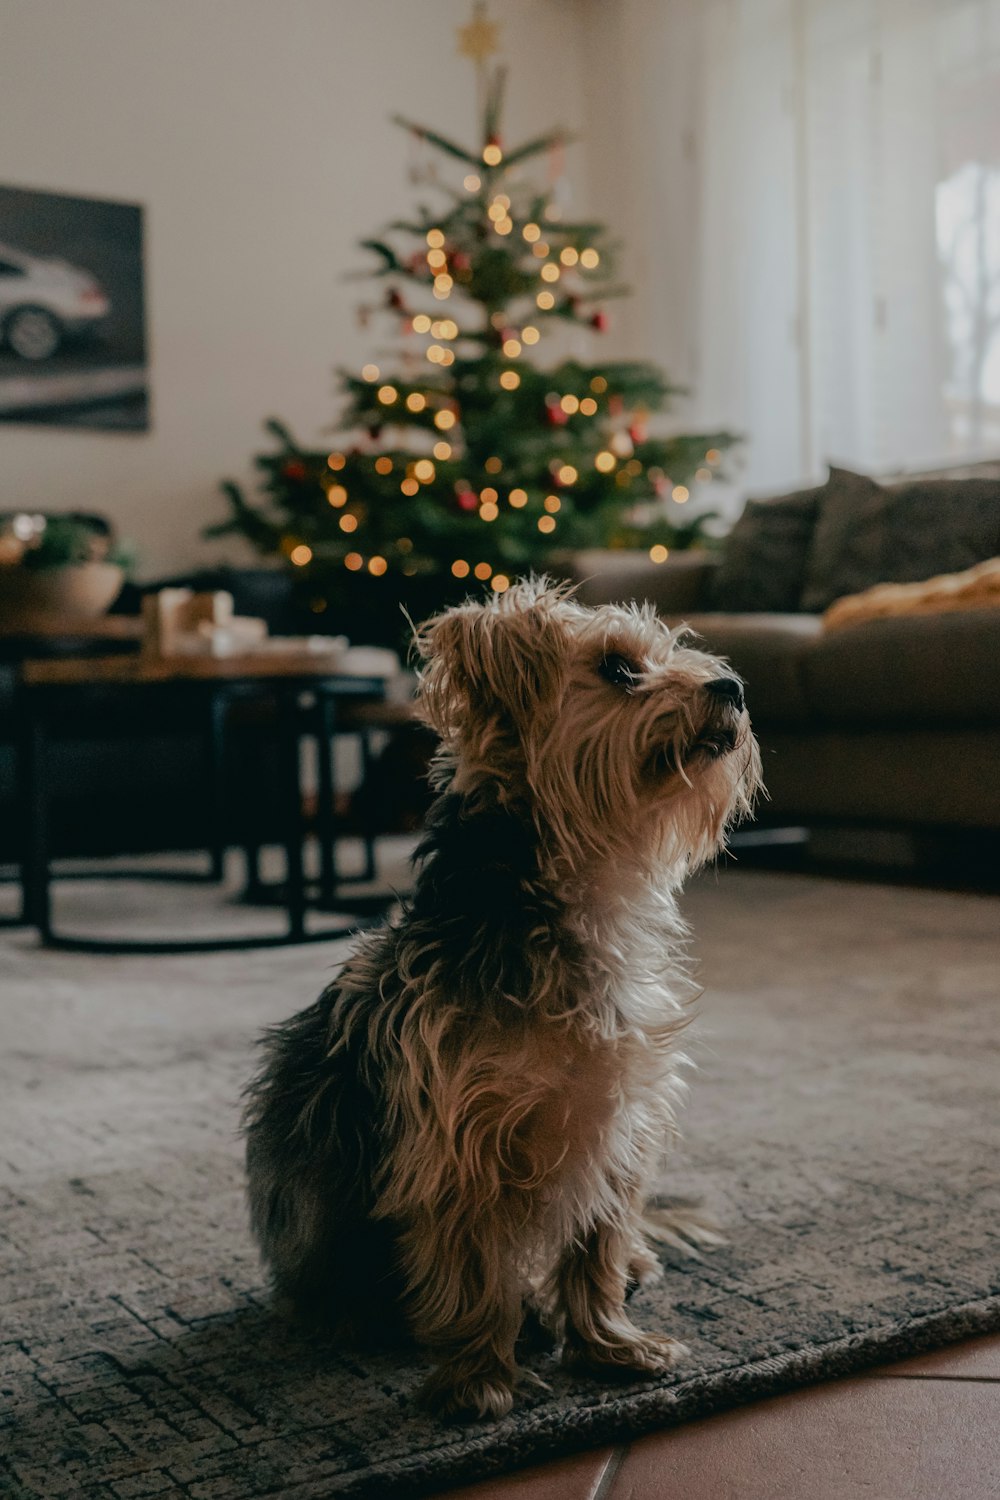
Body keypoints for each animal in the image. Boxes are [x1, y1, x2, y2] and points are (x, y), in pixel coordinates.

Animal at [245, 579, 761, 1422]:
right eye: (620, 670)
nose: (733, 687)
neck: (577, 899)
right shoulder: (458, 1146)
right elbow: (472, 1271)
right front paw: (480, 1379)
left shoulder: (618, 1123)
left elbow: (595, 1250)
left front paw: (609, 1344)